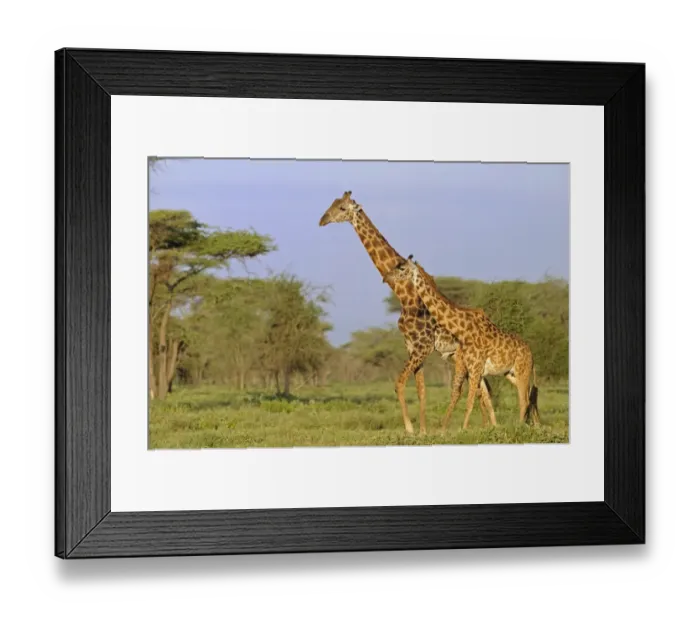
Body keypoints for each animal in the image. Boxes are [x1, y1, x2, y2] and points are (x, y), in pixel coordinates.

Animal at [319, 191, 494, 435]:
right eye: (333, 203)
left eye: (343, 208)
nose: (322, 220)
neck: (405, 295)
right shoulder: (412, 347)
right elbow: (421, 391)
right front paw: (422, 431)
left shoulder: (422, 347)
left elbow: (399, 383)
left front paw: (411, 428)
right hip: (461, 357)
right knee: (482, 388)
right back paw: (489, 426)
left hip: (466, 358)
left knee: (479, 389)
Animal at [383, 255, 541, 432]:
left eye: (402, 268)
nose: (386, 277)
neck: (463, 330)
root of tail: (531, 353)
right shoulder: (474, 368)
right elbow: (478, 398)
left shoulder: (474, 367)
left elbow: (470, 401)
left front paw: (463, 430)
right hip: (510, 373)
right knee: (528, 396)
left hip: (522, 371)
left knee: (524, 400)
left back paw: (521, 426)